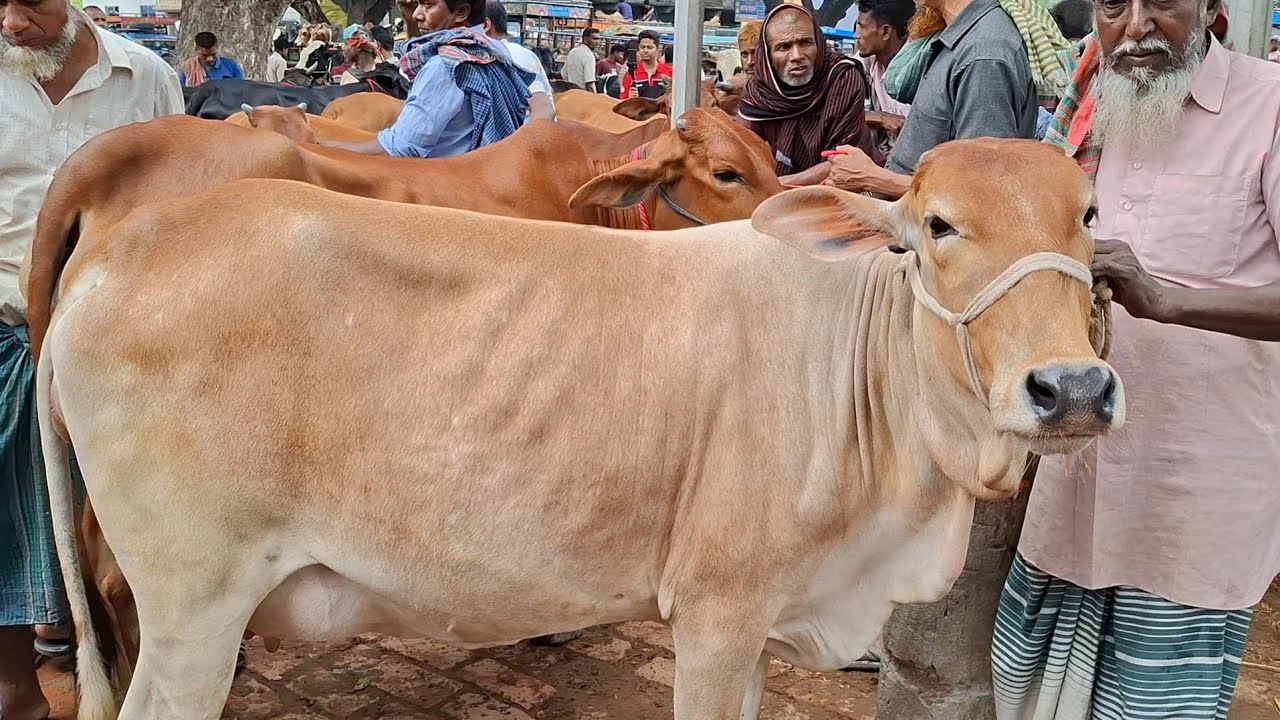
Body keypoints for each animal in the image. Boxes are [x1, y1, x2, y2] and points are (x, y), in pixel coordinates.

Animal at [36, 138, 1120, 720]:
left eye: (1086, 213)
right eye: (937, 226)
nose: (1069, 388)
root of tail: (124, 245)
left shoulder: (763, 625)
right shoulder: (718, 614)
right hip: (194, 604)